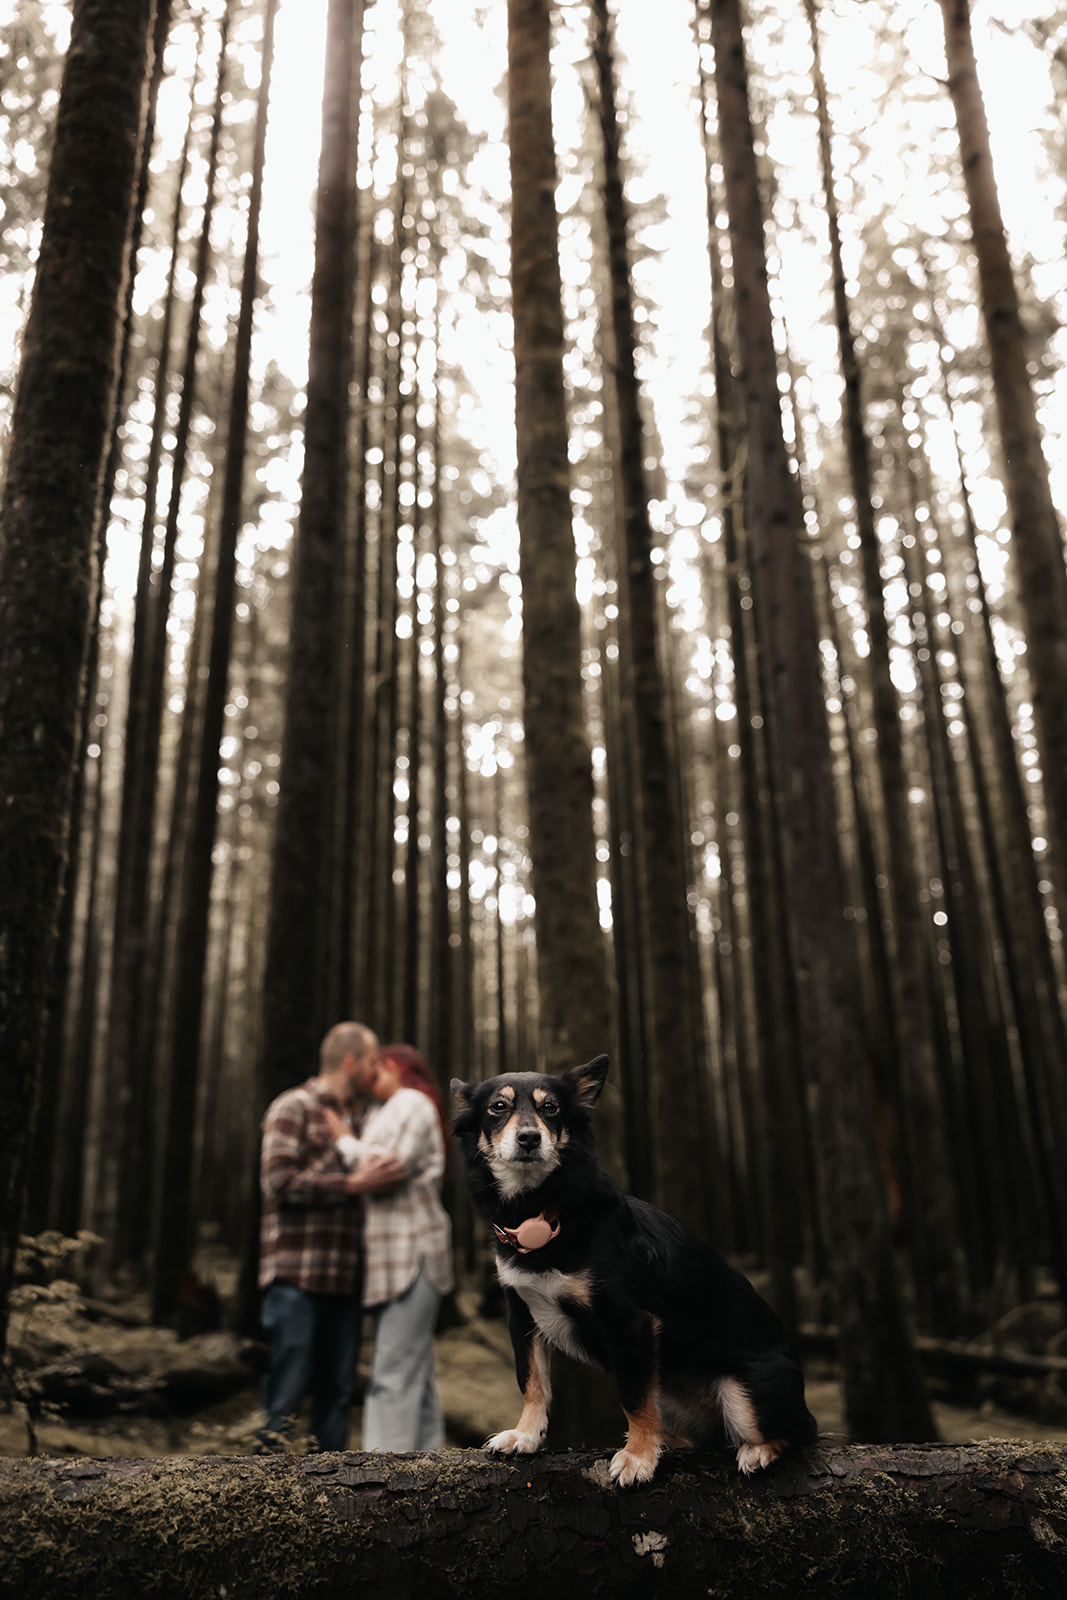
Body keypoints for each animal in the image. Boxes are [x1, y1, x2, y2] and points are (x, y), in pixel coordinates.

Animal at [451, 1049, 819, 1484]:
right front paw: (525, 1435)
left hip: (744, 1393)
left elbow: (633, 1396)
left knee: (799, 1432)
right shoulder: (522, 1314)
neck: (541, 1211)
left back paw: (757, 1451)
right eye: (498, 1107)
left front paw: (638, 1457)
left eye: (550, 1108)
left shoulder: (628, 1321)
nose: (529, 1138)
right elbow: (532, 1382)